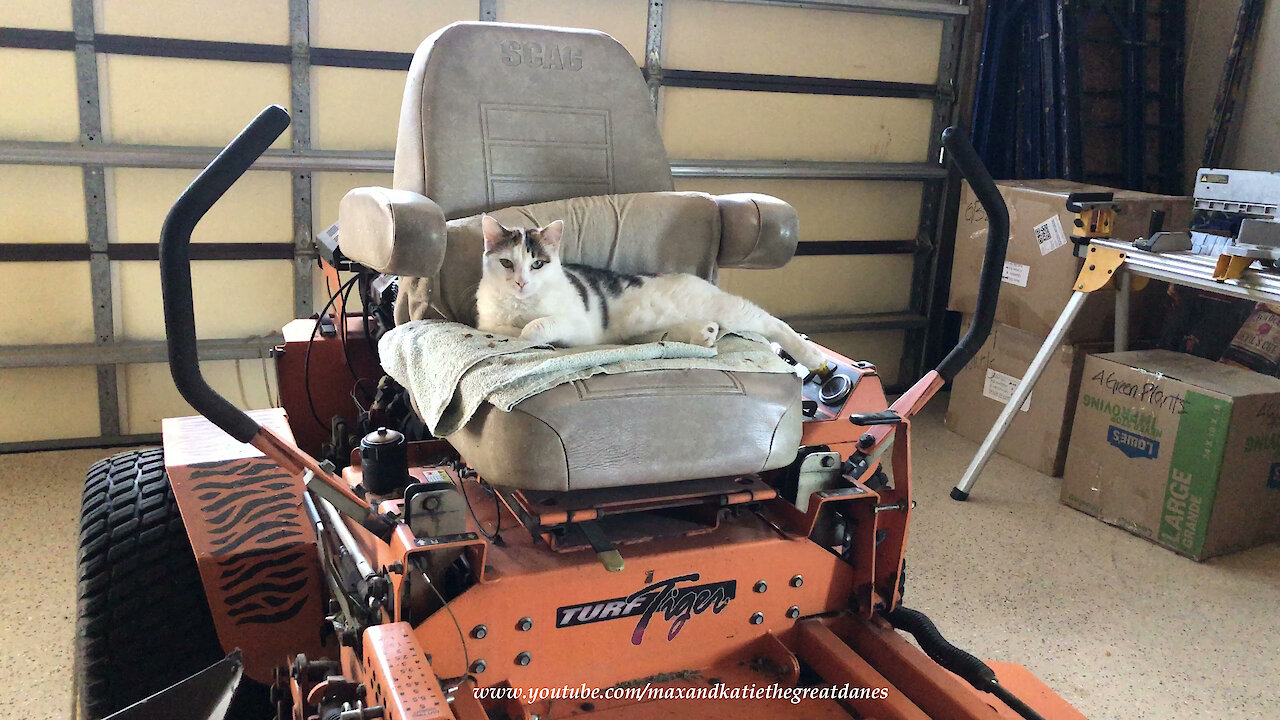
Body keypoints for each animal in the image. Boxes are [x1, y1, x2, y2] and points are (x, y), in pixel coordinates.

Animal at [476, 212, 824, 368]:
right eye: (507, 263)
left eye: (537, 264)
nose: (521, 282)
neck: (522, 307)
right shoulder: (488, 323)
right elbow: (507, 329)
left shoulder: (579, 326)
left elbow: (535, 327)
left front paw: (532, 333)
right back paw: (704, 333)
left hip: (733, 310)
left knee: (772, 322)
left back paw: (812, 357)